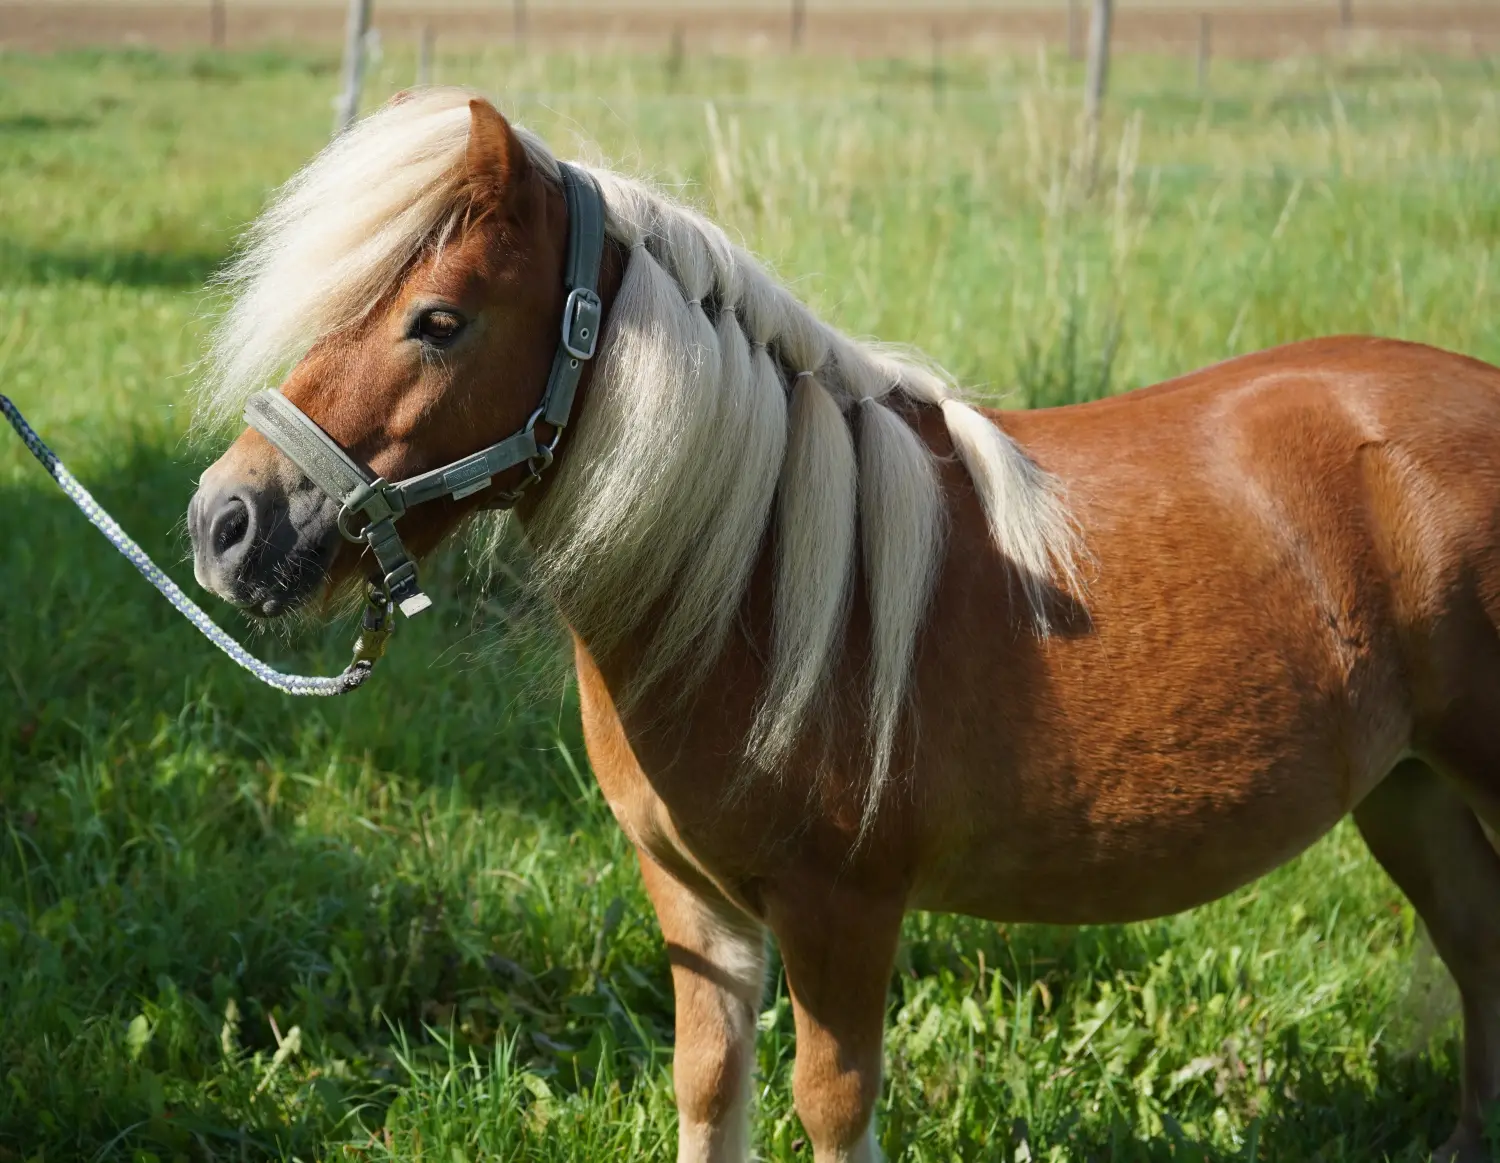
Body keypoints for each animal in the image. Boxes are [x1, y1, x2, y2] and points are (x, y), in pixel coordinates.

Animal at [190, 90, 1500, 1163]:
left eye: (439, 320)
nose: (226, 524)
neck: (757, 581)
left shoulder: (843, 908)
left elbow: (831, 1101)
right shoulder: (693, 901)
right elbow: (709, 1087)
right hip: (1407, 790)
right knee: (1478, 947)